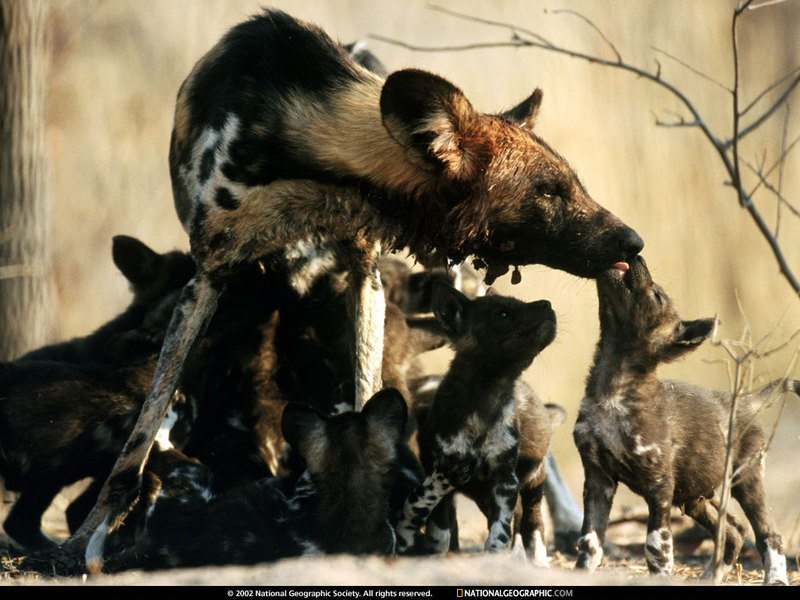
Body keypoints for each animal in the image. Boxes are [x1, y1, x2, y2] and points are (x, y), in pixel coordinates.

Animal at [69, 8, 644, 564]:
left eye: (572, 185)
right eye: (548, 192)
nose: (634, 241)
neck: (308, 178)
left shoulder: (364, 279)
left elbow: (371, 402)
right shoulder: (207, 281)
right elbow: (139, 440)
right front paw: (87, 538)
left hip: (458, 286)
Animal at [576, 255, 788, 584]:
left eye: (656, 296)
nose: (639, 257)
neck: (612, 388)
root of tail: (748, 402)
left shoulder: (659, 483)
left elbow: (656, 547)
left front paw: (661, 575)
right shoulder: (598, 478)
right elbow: (590, 543)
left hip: (746, 479)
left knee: (768, 536)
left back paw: (775, 578)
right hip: (695, 496)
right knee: (734, 532)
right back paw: (710, 576)